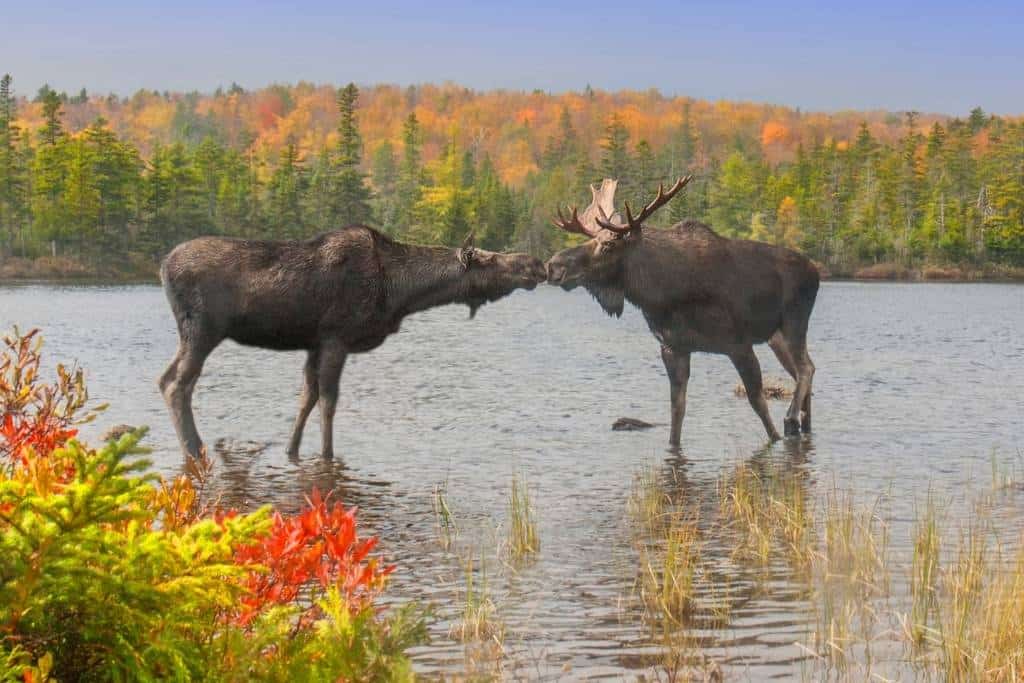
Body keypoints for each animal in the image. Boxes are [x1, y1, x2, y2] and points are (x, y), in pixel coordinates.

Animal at [158, 225, 544, 458]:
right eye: (489, 258)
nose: (537, 264)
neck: (400, 290)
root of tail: (162, 266)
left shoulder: (314, 344)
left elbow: (306, 398)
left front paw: (291, 450)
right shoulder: (336, 338)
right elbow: (329, 401)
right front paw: (328, 454)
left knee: (166, 379)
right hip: (203, 330)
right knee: (177, 384)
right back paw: (194, 448)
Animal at [548, 178, 819, 444]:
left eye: (607, 246)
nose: (553, 266)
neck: (661, 294)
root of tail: (815, 271)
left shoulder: (738, 344)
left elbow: (759, 404)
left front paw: (776, 434)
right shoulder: (673, 347)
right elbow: (677, 410)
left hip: (794, 322)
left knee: (806, 368)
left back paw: (791, 418)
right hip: (775, 338)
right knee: (803, 370)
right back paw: (804, 423)